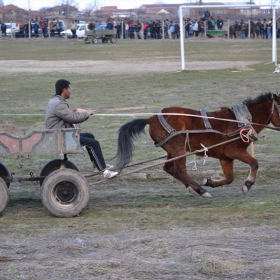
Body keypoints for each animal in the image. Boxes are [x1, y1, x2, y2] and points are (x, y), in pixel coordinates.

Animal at [115, 92, 280, 197]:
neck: (241, 121)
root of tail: (151, 119)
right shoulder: (233, 151)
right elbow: (254, 163)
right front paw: (247, 184)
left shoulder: (225, 157)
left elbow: (229, 178)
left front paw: (210, 181)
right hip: (178, 149)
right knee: (180, 171)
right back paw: (200, 191)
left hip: (172, 151)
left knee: (169, 169)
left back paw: (193, 188)